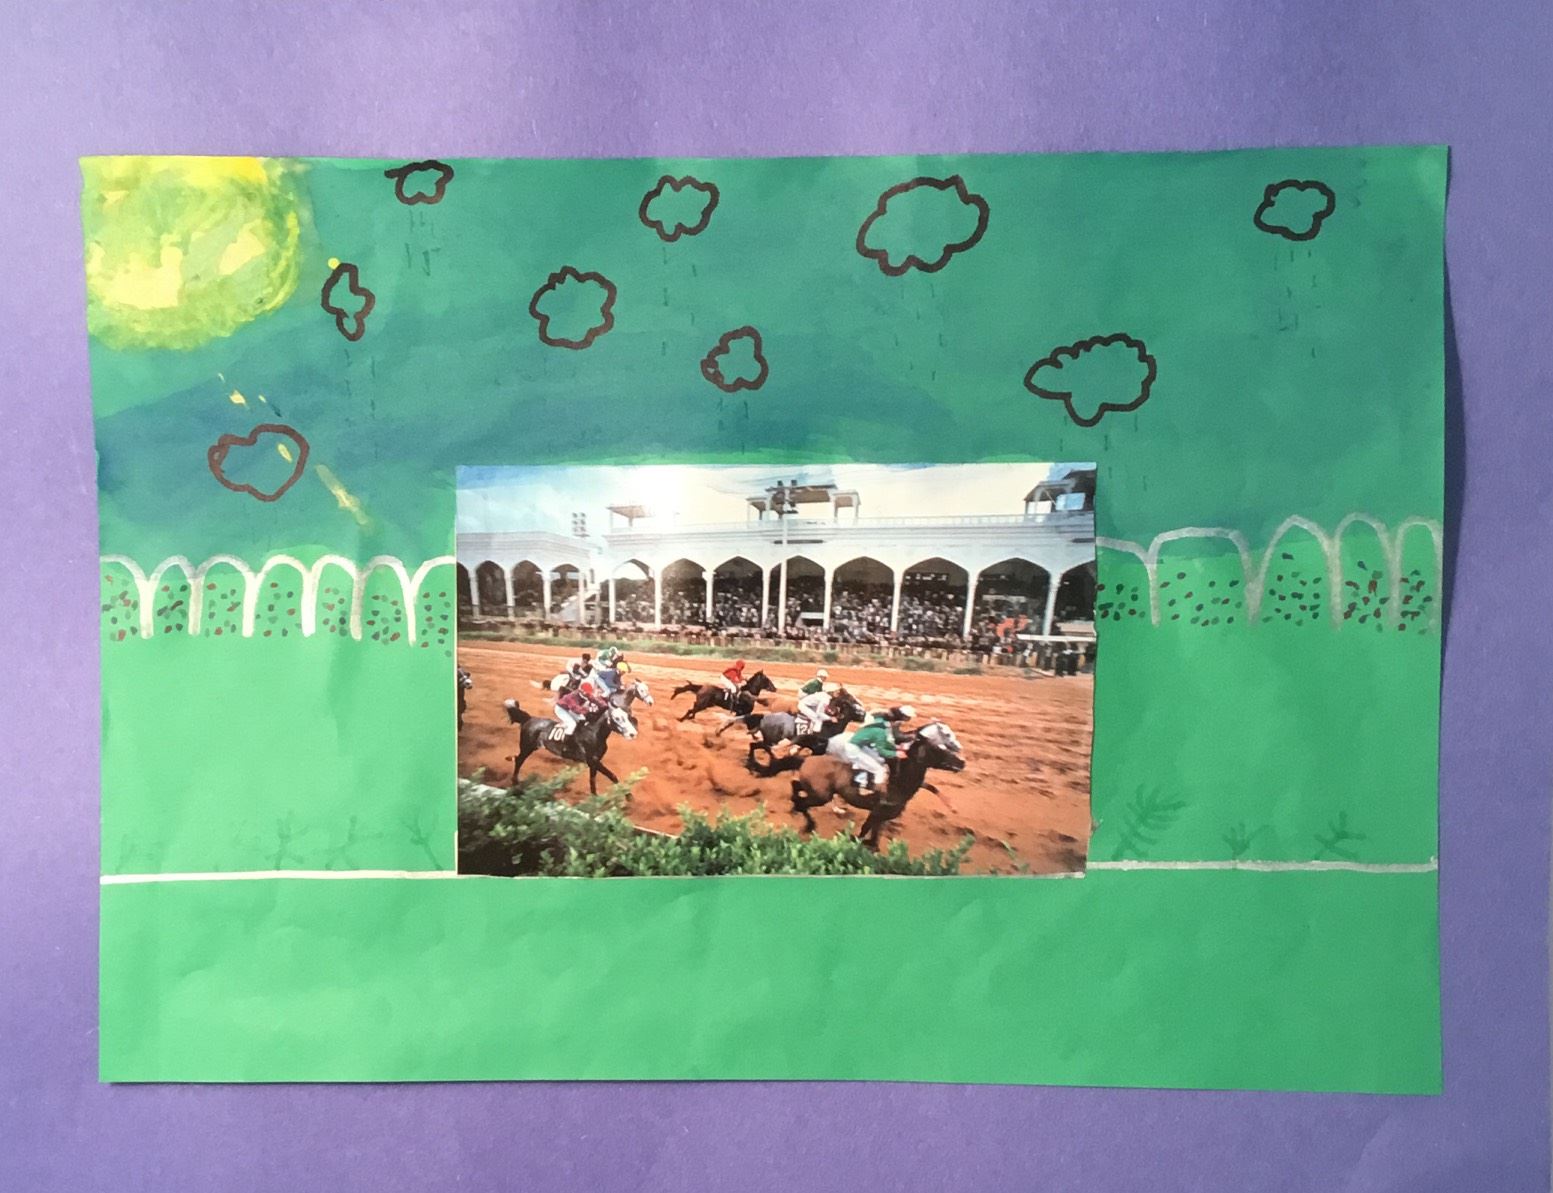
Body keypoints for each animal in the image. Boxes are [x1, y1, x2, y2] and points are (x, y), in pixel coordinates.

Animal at [503, 698, 638, 794]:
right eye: (617, 718)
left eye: (628, 716)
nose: (633, 734)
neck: (593, 733)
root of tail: (529, 719)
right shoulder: (593, 761)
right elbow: (611, 775)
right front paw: (627, 796)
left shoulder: (594, 763)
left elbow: (595, 780)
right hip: (527, 747)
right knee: (519, 760)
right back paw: (515, 783)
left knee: (518, 758)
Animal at [793, 722, 967, 848]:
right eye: (939, 748)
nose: (962, 761)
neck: (898, 782)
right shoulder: (876, 812)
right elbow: (864, 832)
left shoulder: (881, 817)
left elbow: (874, 840)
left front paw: (952, 806)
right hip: (821, 795)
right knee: (804, 801)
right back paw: (814, 821)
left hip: (817, 791)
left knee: (797, 787)